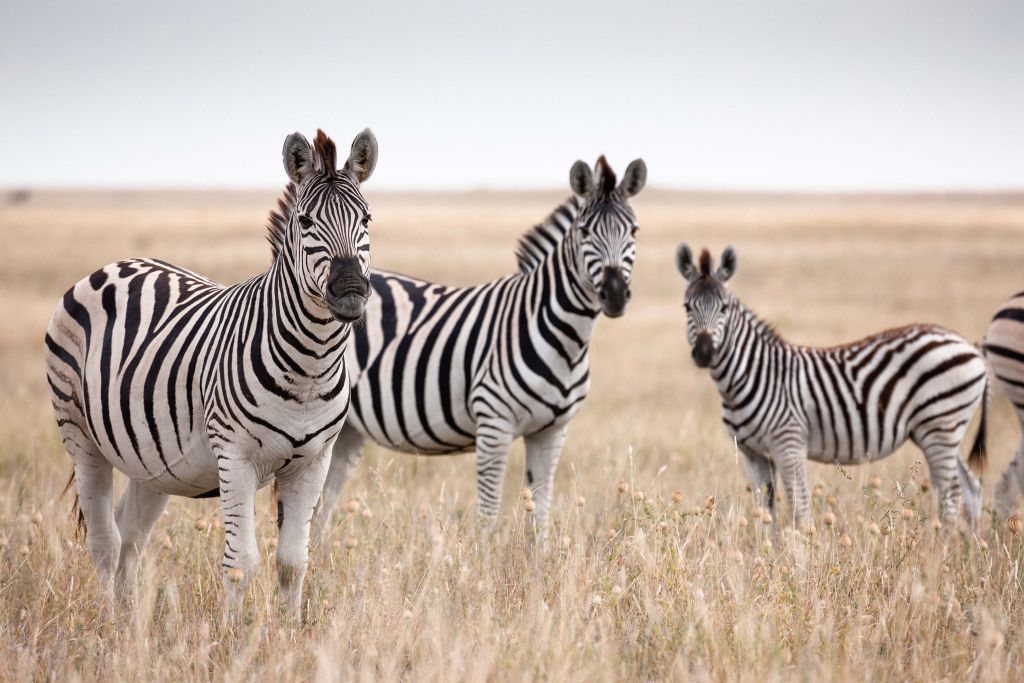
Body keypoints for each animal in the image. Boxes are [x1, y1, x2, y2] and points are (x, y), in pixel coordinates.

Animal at [45, 126, 380, 614]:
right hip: (79, 435)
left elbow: (293, 561)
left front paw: (291, 628)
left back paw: (129, 622)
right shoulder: (235, 457)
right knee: (105, 542)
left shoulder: (314, 462)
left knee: (130, 536)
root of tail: (114, 264)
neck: (309, 367)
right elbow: (241, 562)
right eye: (304, 222)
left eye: (367, 219)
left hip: (153, 462)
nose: (352, 291)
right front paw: (234, 633)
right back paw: (108, 623)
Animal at [315, 156, 643, 532]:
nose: (615, 294)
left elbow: (540, 512)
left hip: (348, 429)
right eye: (585, 232)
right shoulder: (493, 423)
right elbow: (488, 514)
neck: (566, 341)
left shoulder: (552, 431)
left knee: (321, 506)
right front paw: (483, 550)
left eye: (634, 231)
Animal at [675, 244, 987, 528]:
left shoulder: (789, 443)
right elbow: (765, 513)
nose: (704, 352)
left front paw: (799, 552)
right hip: (942, 430)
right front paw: (767, 551)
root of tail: (970, 346)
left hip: (940, 426)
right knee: (971, 489)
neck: (748, 376)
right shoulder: (753, 454)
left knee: (951, 496)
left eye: (724, 308)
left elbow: (800, 511)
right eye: (687, 307)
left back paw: (942, 549)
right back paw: (968, 549)